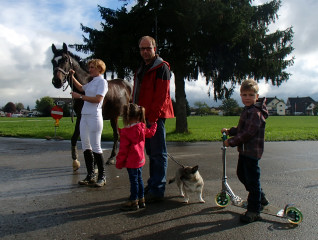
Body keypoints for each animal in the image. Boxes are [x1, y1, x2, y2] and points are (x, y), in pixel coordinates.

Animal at [51, 43, 132, 171]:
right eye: (52, 61)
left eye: (65, 59)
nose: (57, 81)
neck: (85, 85)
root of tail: (127, 85)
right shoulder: (80, 116)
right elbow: (75, 137)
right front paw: (76, 162)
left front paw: (94, 166)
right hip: (115, 116)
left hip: (119, 116)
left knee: (118, 134)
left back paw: (113, 158)